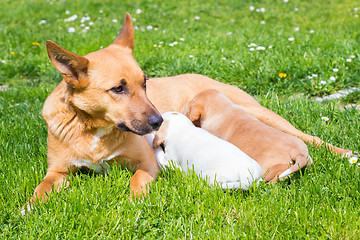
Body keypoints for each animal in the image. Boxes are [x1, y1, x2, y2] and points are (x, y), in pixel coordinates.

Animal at [23, 12, 356, 212]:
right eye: (118, 89)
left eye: (145, 83)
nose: (157, 120)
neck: (93, 128)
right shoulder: (58, 172)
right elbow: (42, 188)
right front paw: (28, 208)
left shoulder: (146, 163)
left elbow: (136, 182)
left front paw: (133, 203)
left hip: (262, 114)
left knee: (312, 138)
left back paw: (347, 155)